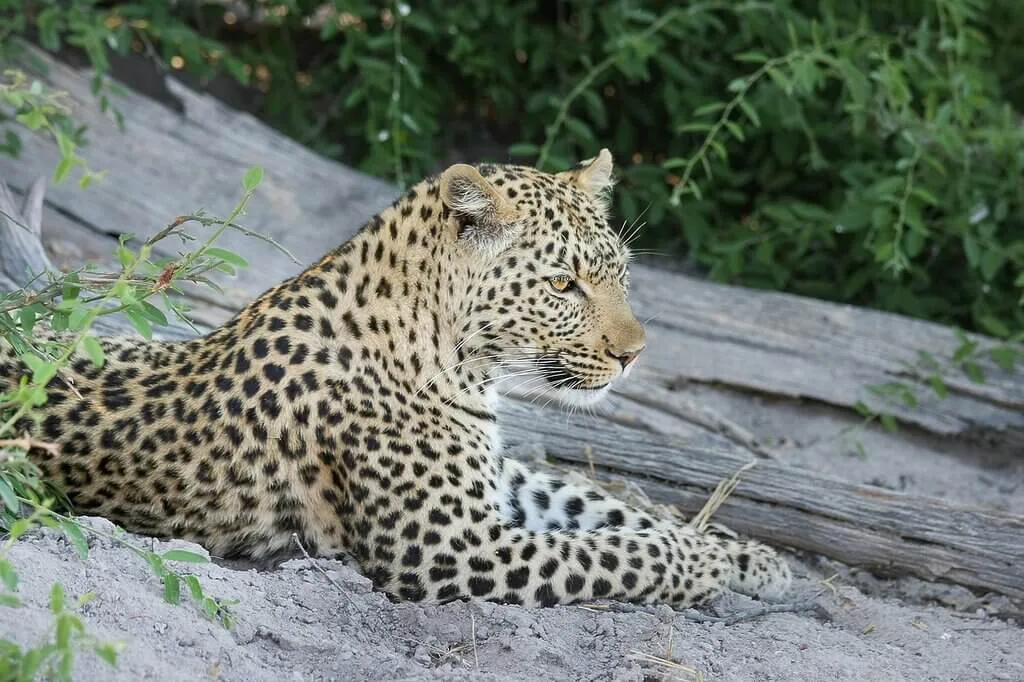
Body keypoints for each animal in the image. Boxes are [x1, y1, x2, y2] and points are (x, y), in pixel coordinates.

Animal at [0, 149, 792, 608]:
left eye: (620, 273)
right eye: (563, 284)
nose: (636, 354)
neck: (460, 359)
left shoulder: (495, 479)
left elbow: (611, 508)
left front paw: (756, 559)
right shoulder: (450, 547)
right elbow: (617, 552)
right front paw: (706, 567)